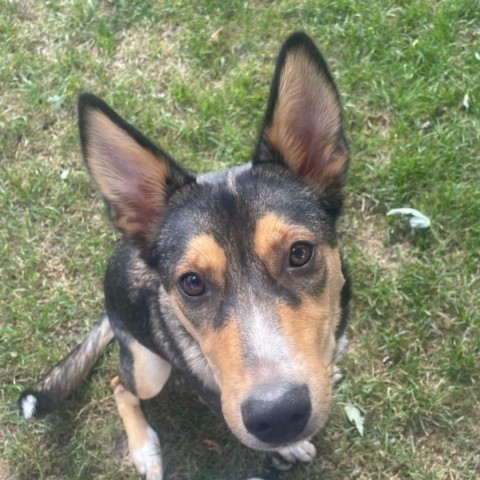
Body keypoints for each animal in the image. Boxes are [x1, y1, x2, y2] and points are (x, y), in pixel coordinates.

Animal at [18, 31, 350, 478]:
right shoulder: (216, 395)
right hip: (149, 366)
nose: (278, 416)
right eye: (192, 283)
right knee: (118, 385)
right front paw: (290, 446)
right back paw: (144, 448)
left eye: (300, 253)